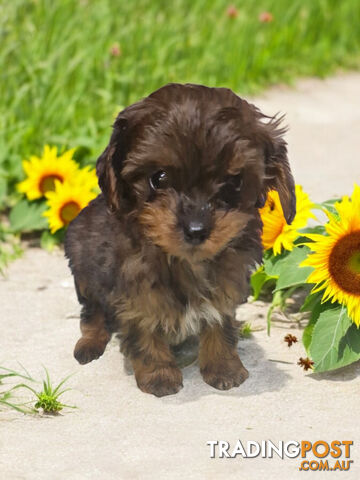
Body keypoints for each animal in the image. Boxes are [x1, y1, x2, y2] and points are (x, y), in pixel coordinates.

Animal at [64, 83, 296, 398]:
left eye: (234, 181)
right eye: (158, 178)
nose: (196, 229)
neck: (184, 261)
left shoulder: (227, 279)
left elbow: (220, 320)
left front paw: (224, 367)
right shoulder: (135, 288)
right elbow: (144, 329)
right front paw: (159, 374)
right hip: (83, 268)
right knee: (92, 313)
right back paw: (89, 344)